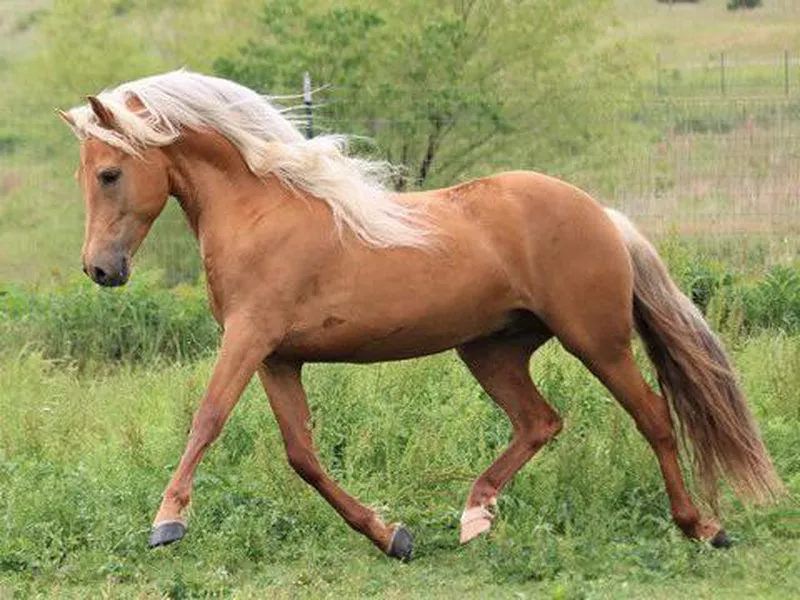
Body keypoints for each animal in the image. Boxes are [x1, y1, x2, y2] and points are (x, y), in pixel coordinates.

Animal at [61, 72, 780, 560]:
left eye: (109, 173)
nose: (99, 270)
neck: (261, 210)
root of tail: (601, 214)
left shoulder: (248, 338)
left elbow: (207, 419)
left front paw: (167, 522)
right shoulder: (278, 357)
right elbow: (303, 455)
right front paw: (393, 536)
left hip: (596, 341)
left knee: (653, 416)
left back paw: (703, 527)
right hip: (491, 350)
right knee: (540, 421)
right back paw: (474, 517)